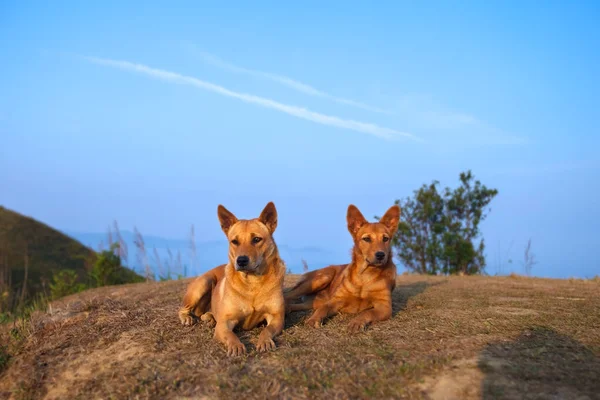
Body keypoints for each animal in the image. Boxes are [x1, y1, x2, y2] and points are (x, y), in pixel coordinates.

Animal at [178, 203, 286, 356]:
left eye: (256, 239)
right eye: (234, 241)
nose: (241, 260)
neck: (252, 282)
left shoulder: (276, 318)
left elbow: (267, 330)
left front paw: (265, 341)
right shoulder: (225, 323)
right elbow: (230, 335)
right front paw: (236, 346)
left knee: (204, 314)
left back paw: (209, 319)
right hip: (204, 282)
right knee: (182, 308)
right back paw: (187, 318)